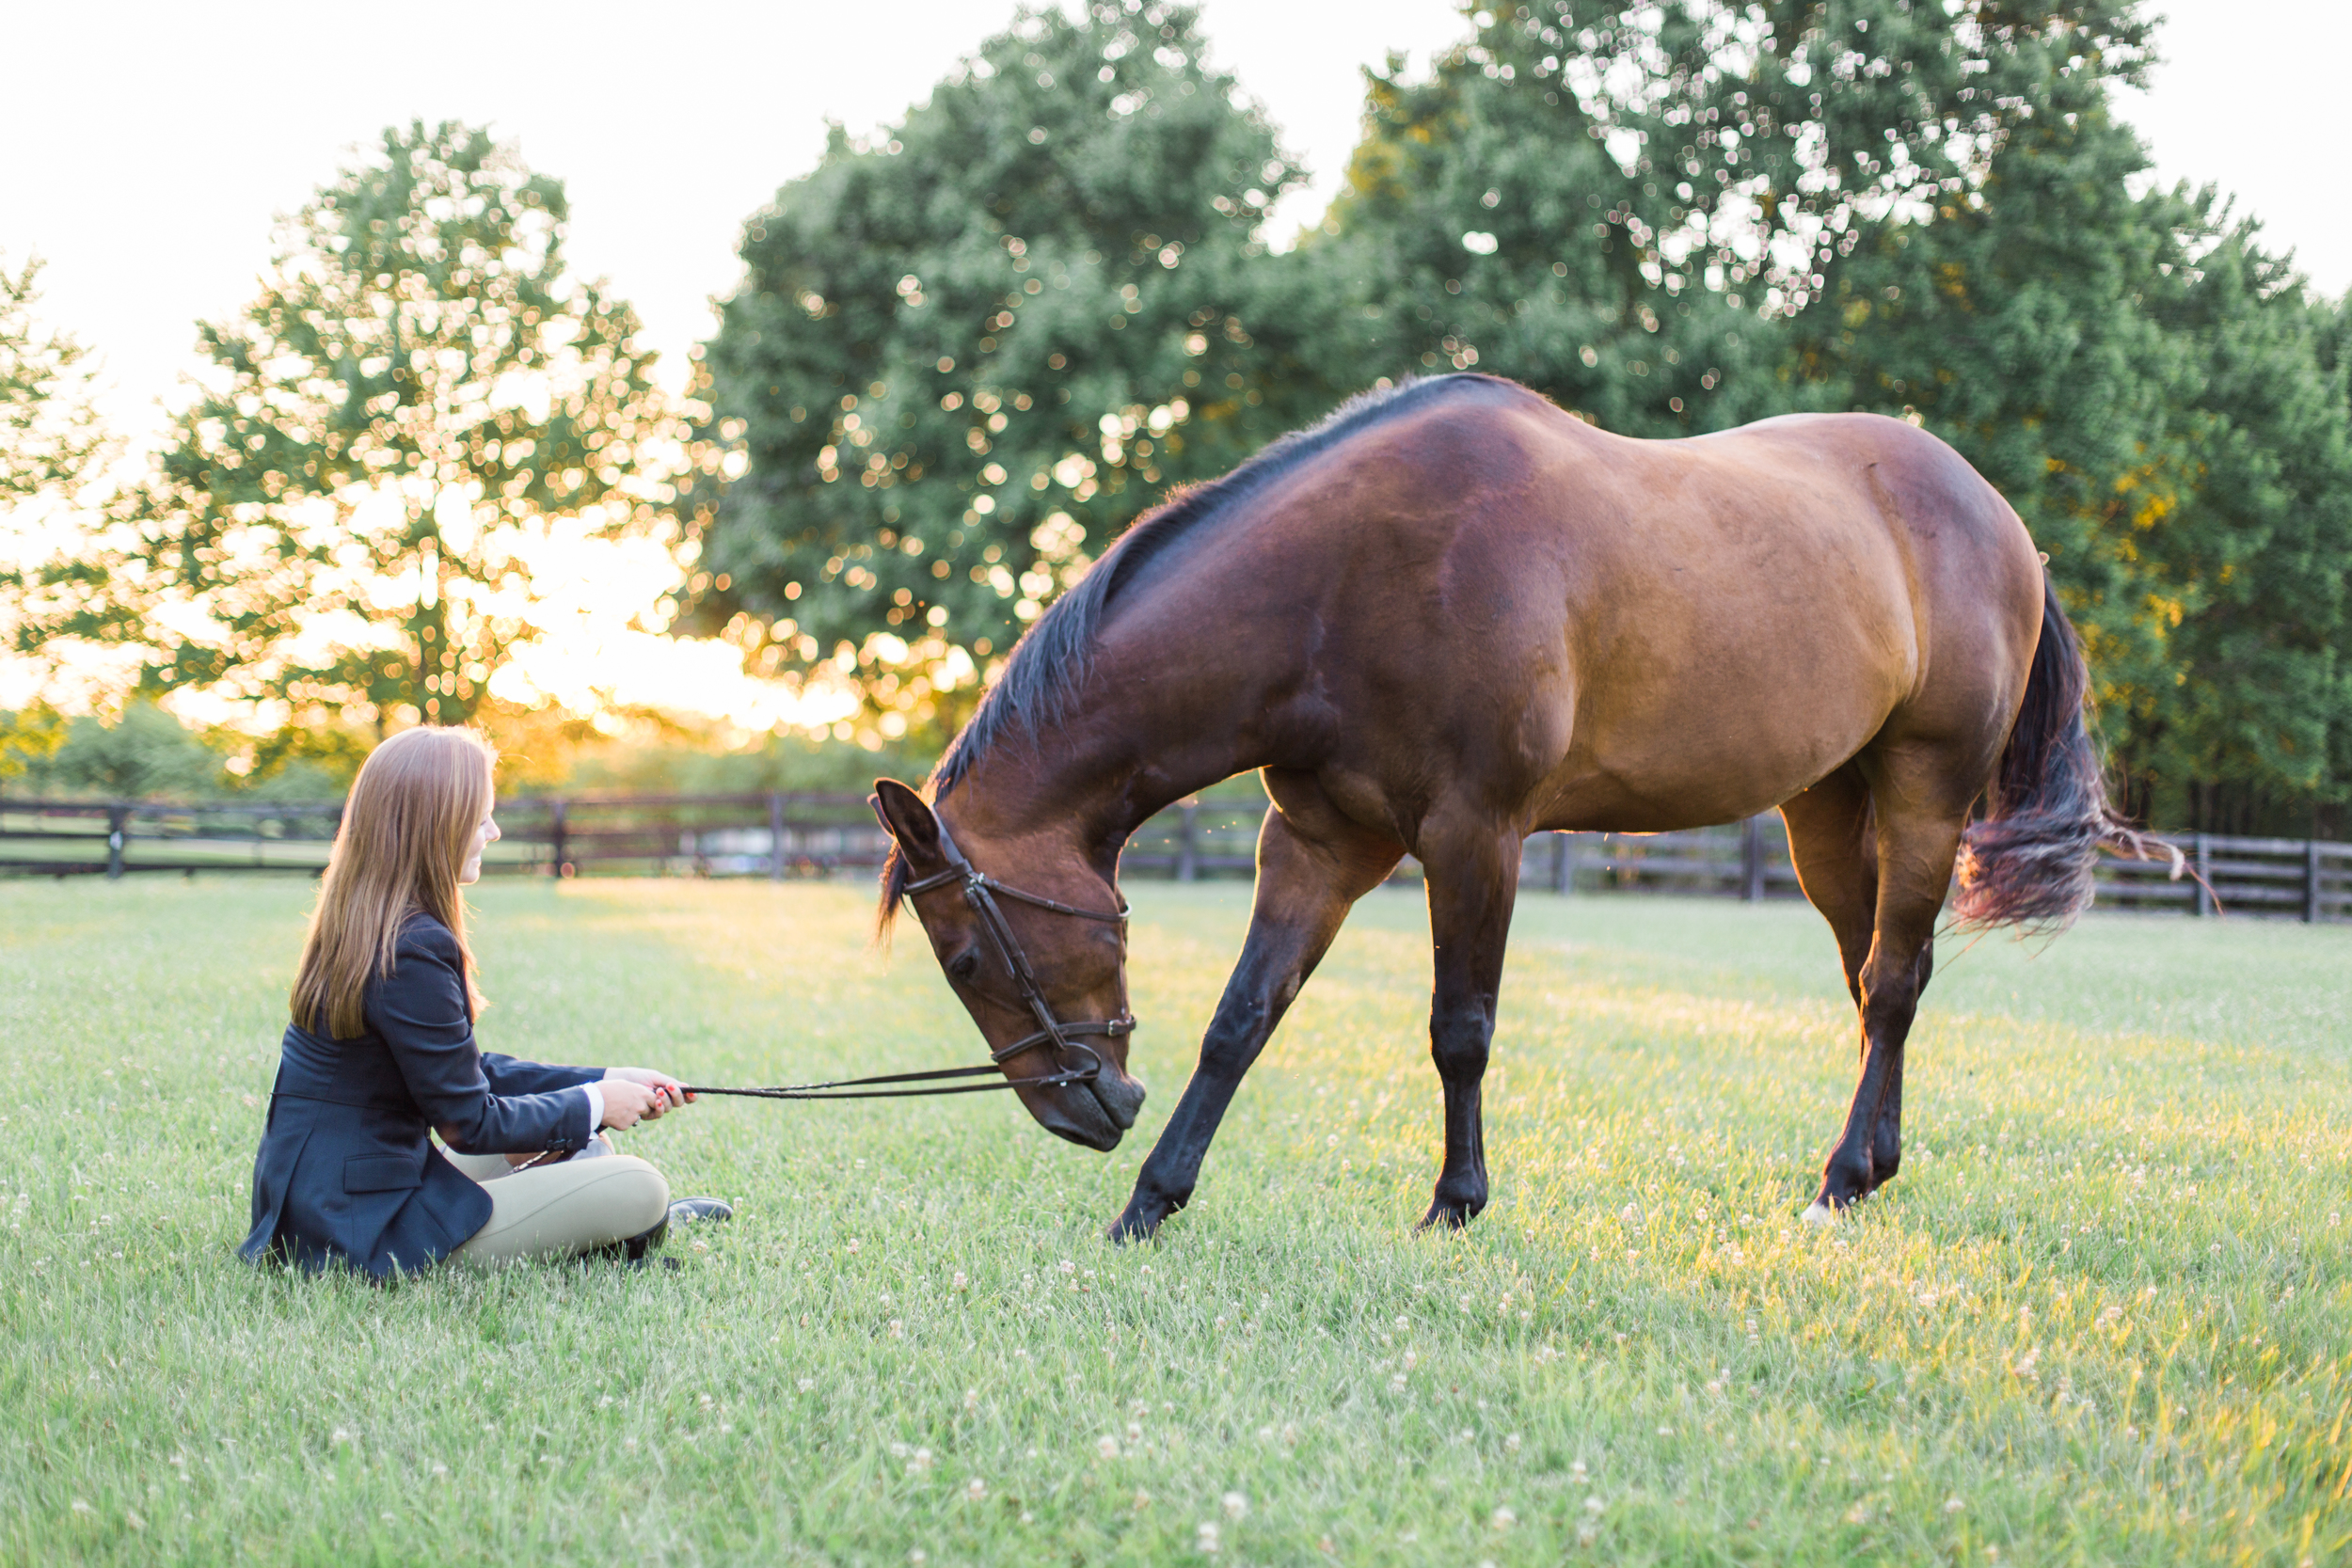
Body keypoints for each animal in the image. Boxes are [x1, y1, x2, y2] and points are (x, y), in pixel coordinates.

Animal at [870, 373, 2164, 1241]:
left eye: (967, 957)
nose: (1091, 1111)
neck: (1344, 586)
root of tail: (1997, 514)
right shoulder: (1320, 841)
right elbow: (1242, 1018)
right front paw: (1152, 1202)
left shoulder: (1473, 835)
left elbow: (1461, 1028)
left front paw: (1456, 1201)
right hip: (1823, 815)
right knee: (1870, 980)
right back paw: (1869, 1164)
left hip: (1923, 792)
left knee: (1893, 981)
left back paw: (1843, 1177)